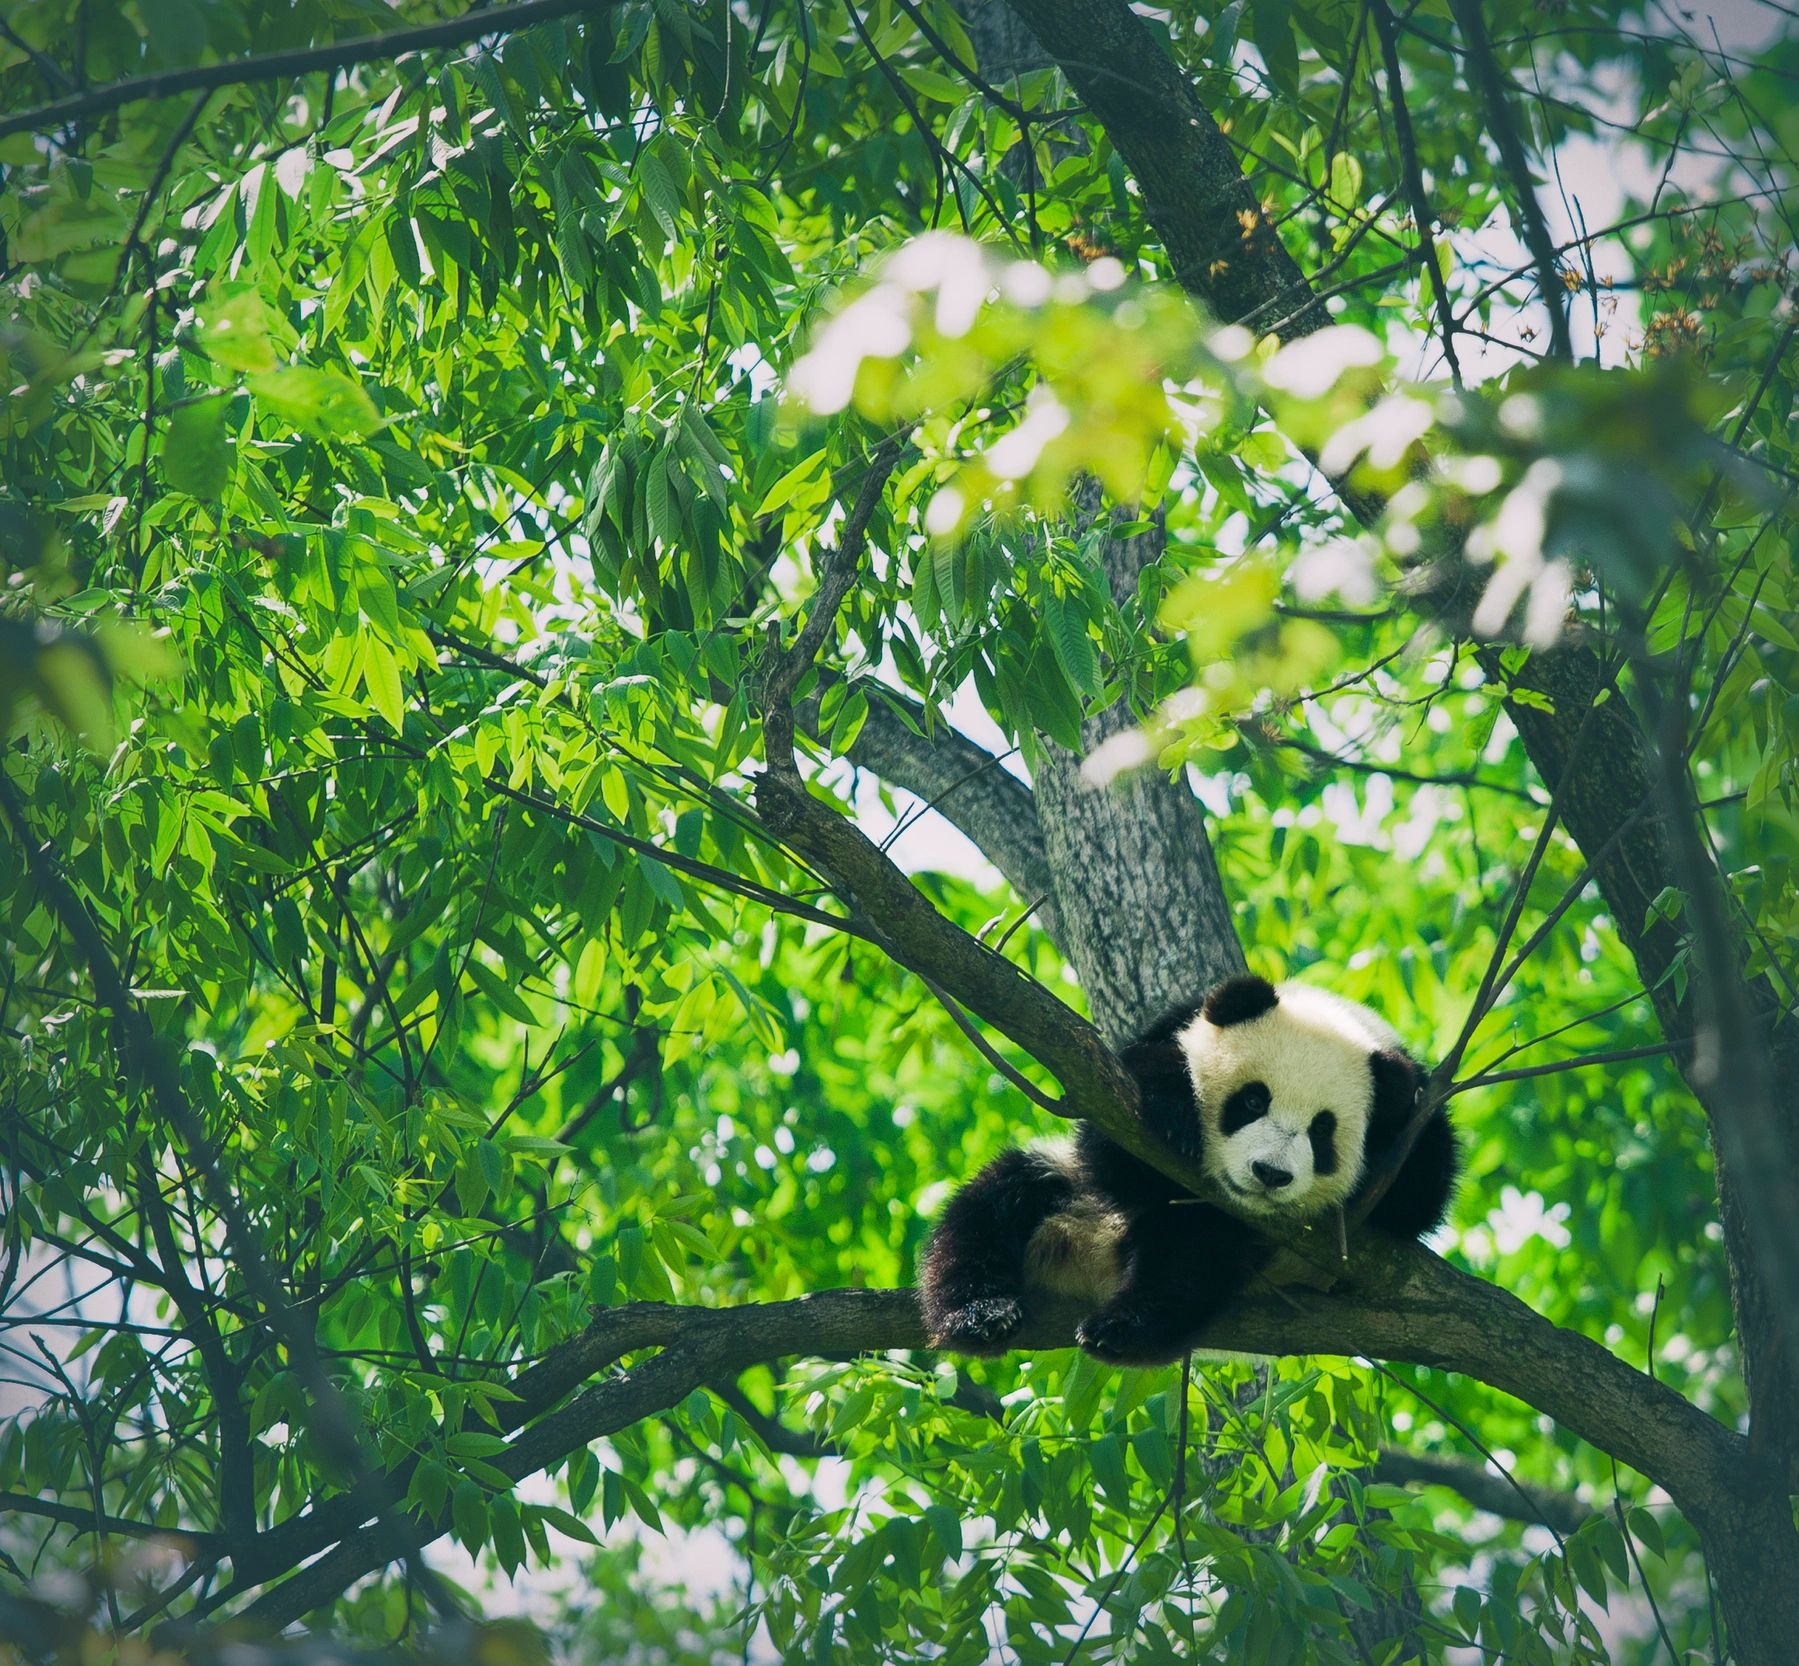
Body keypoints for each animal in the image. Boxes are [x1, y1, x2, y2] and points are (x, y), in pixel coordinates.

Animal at [918, 973, 1457, 1367]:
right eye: (1253, 1100)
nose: (1269, 1173)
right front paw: (1174, 1109)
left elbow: (1420, 1196)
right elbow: (1114, 1136)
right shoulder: (1166, 1031)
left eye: (1322, 1132)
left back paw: (1119, 1330)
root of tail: (1093, 1262)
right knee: (995, 1204)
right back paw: (979, 1315)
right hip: (1069, 1191)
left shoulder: (1416, 1111)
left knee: (1188, 1260)